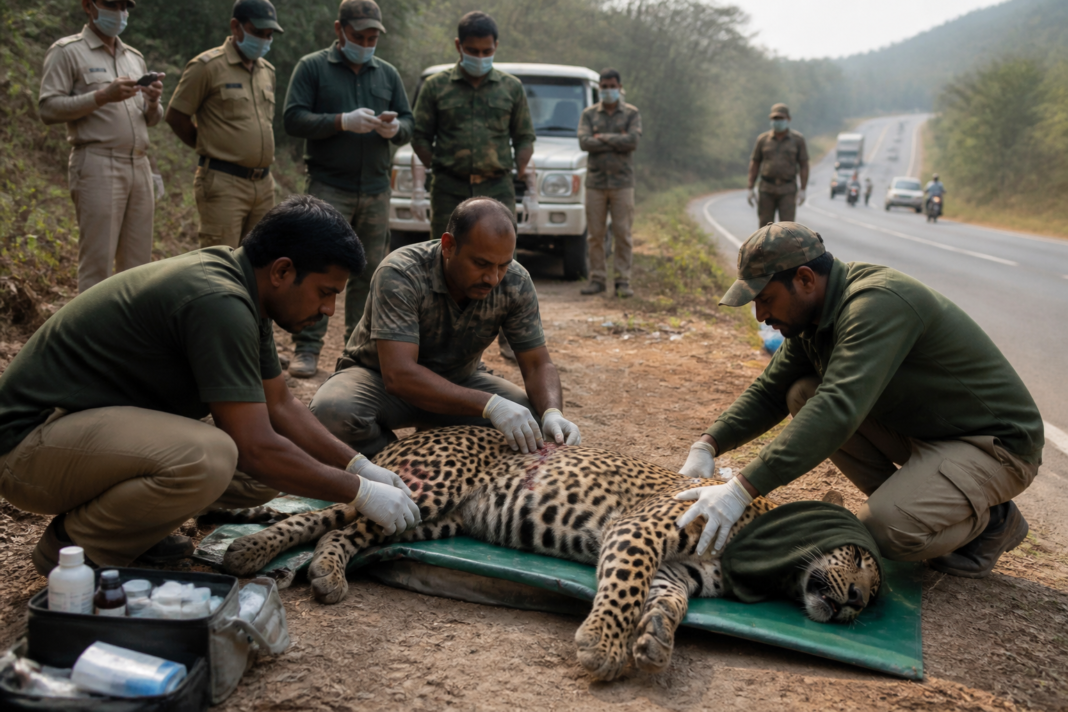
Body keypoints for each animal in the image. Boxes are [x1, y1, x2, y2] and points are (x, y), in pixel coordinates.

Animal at [222, 426, 881, 680]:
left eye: (873, 599)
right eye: (860, 563)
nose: (853, 603)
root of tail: (416, 435)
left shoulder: (675, 571)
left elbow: (665, 601)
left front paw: (655, 641)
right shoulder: (639, 532)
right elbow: (623, 589)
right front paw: (605, 647)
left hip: (431, 520)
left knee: (343, 530)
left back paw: (324, 573)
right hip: (426, 486)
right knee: (326, 511)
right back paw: (250, 551)